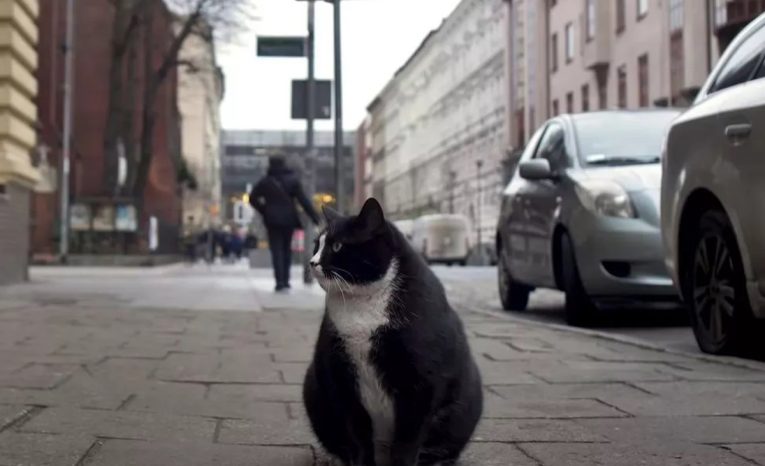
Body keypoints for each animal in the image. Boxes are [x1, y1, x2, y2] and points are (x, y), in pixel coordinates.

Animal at [302, 199, 480, 466]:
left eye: (337, 245)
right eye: (316, 245)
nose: (312, 262)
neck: (362, 307)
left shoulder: (421, 382)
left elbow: (408, 438)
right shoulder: (340, 376)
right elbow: (357, 434)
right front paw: (361, 462)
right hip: (313, 388)